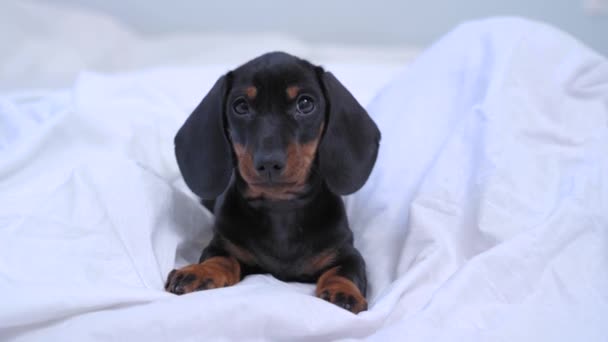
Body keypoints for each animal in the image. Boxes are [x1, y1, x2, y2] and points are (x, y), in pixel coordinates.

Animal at [163, 52, 380, 314]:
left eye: (305, 104)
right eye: (241, 106)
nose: (268, 163)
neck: (280, 209)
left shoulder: (347, 252)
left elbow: (344, 271)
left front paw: (343, 292)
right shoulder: (223, 245)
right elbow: (219, 259)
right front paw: (198, 272)